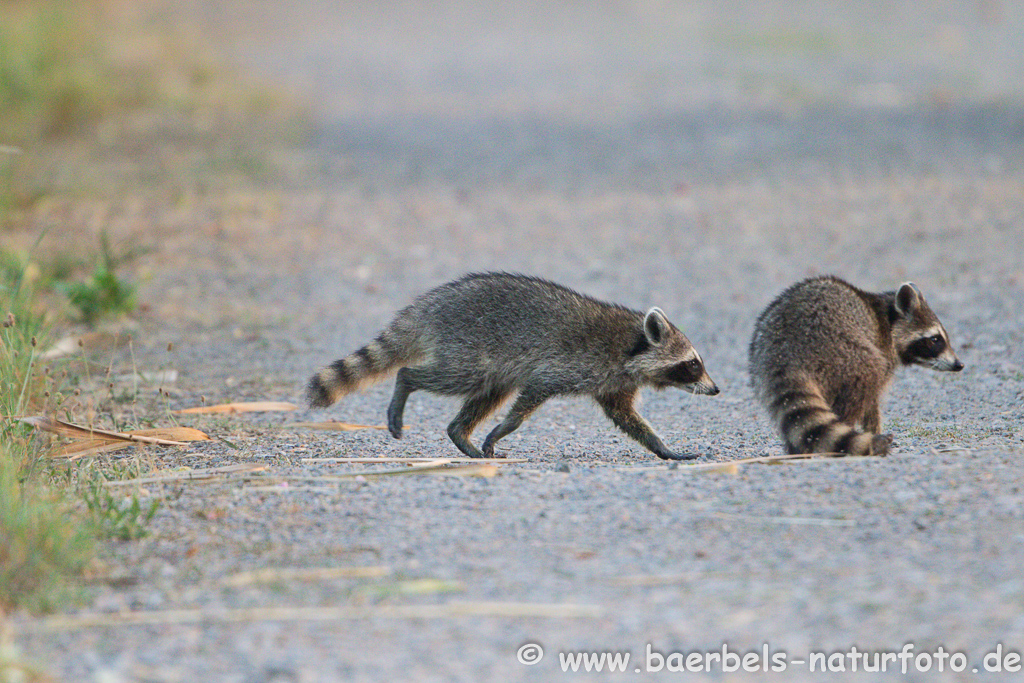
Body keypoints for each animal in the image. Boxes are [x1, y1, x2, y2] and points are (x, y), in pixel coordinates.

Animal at [307, 272, 716, 458]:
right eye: (693, 365)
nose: (715, 389)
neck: (630, 346)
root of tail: (429, 306)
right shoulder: (570, 365)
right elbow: (530, 396)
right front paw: (504, 428)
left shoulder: (614, 384)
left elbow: (628, 420)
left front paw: (663, 448)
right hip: (470, 348)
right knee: (442, 376)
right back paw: (406, 385)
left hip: (488, 365)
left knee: (487, 395)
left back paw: (462, 436)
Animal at [749, 274, 962, 456]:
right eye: (935, 340)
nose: (959, 365)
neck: (888, 319)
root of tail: (786, 352)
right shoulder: (882, 347)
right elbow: (872, 403)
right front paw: (874, 429)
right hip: (842, 350)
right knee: (866, 379)